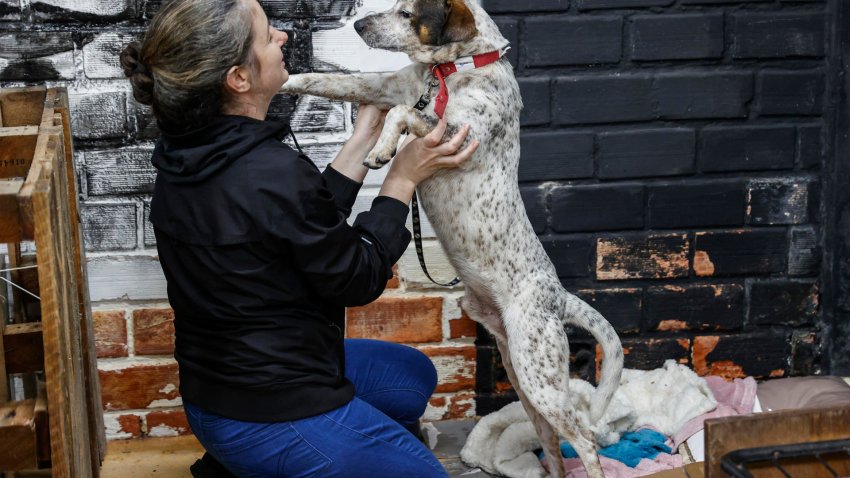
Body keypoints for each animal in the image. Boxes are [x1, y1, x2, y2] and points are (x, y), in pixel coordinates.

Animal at [284, 1, 624, 476]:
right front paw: (284, 78)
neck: (451, 71)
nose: (359, 24)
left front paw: (382, 150)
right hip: (525, 381)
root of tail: (557, 298)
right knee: (553, 446)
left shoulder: (457, 134)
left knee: (588, 441)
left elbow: (400, 113)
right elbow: (334, 81)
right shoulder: (385, 87)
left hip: (540, 378)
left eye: (407, 14)